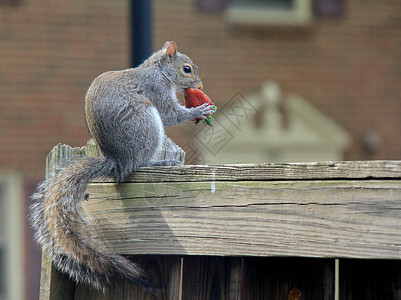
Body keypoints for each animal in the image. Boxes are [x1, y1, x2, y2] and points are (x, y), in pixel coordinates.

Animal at [30, 41, 212, 294]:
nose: (200, 86)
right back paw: (160, 161)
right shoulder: (155, 89)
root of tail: (117, 160)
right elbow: (169, 114)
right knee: (139, 163)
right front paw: (198, 110)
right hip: (145, 123)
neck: (158, 71)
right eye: (187, 69)